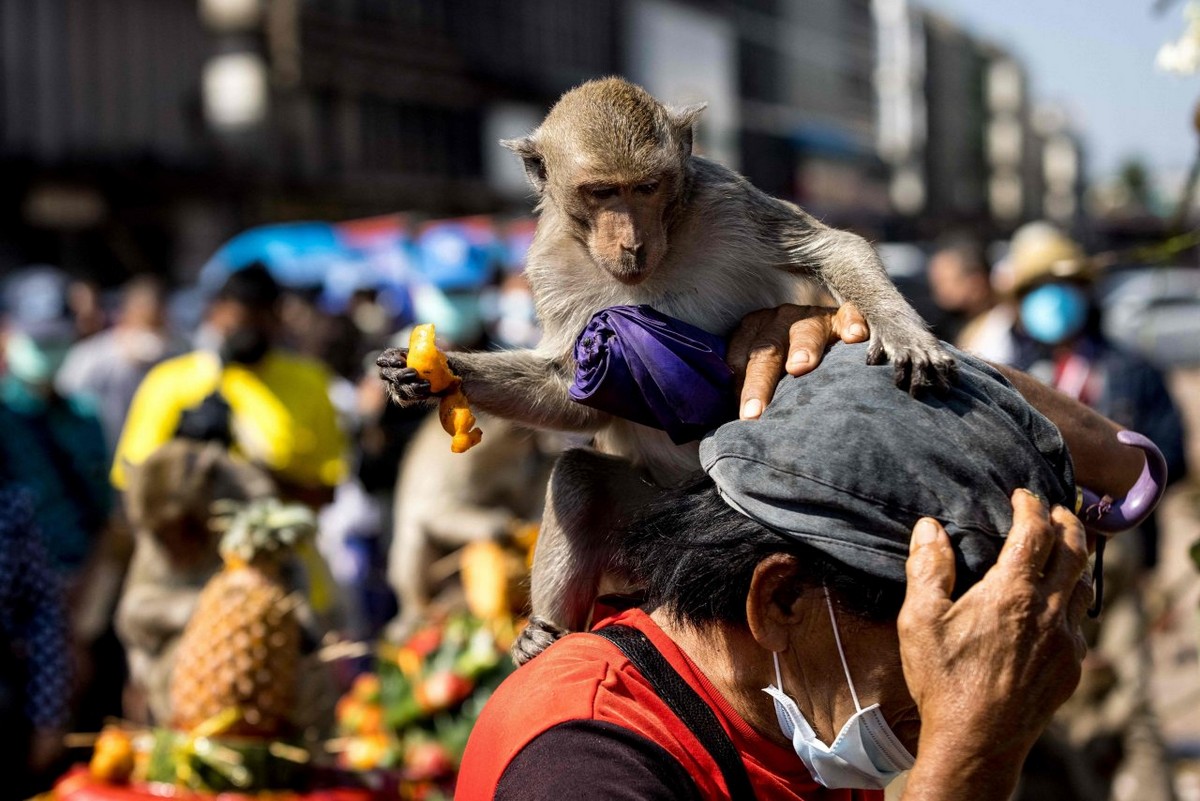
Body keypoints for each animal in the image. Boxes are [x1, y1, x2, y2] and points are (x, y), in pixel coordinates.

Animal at [376, 76, 955, 661]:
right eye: (603, 193)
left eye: (647, 188)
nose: (631, 242)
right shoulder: (547, 264)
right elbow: (572, 394)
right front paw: (434, 374)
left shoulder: (726, 199)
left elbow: (832, 247)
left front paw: (901, 329)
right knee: (580, 479)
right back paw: (544, 634)